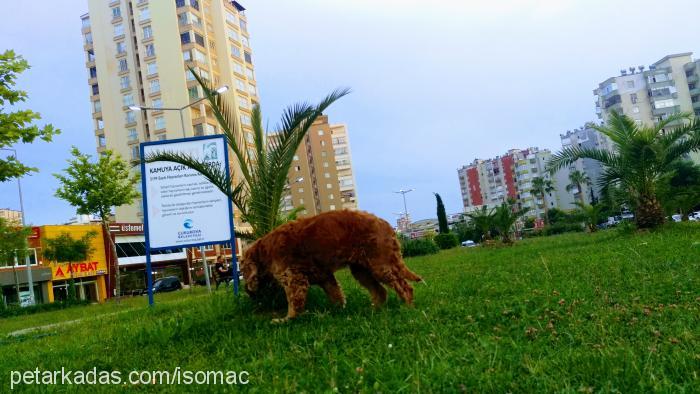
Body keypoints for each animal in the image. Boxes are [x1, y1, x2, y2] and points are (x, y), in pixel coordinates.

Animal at [242, 211, 422, 322]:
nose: (248, 292)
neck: (264, 249)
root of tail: (387, 225)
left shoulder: (293, 278)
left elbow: (293, 302)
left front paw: (286, 319)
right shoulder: (324, 276)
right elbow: (336, 295)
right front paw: (338, 312)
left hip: (380, 265)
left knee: (405, 287)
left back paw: (408, 308)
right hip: (362, 270)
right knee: (380, 291)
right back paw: (374, 310)